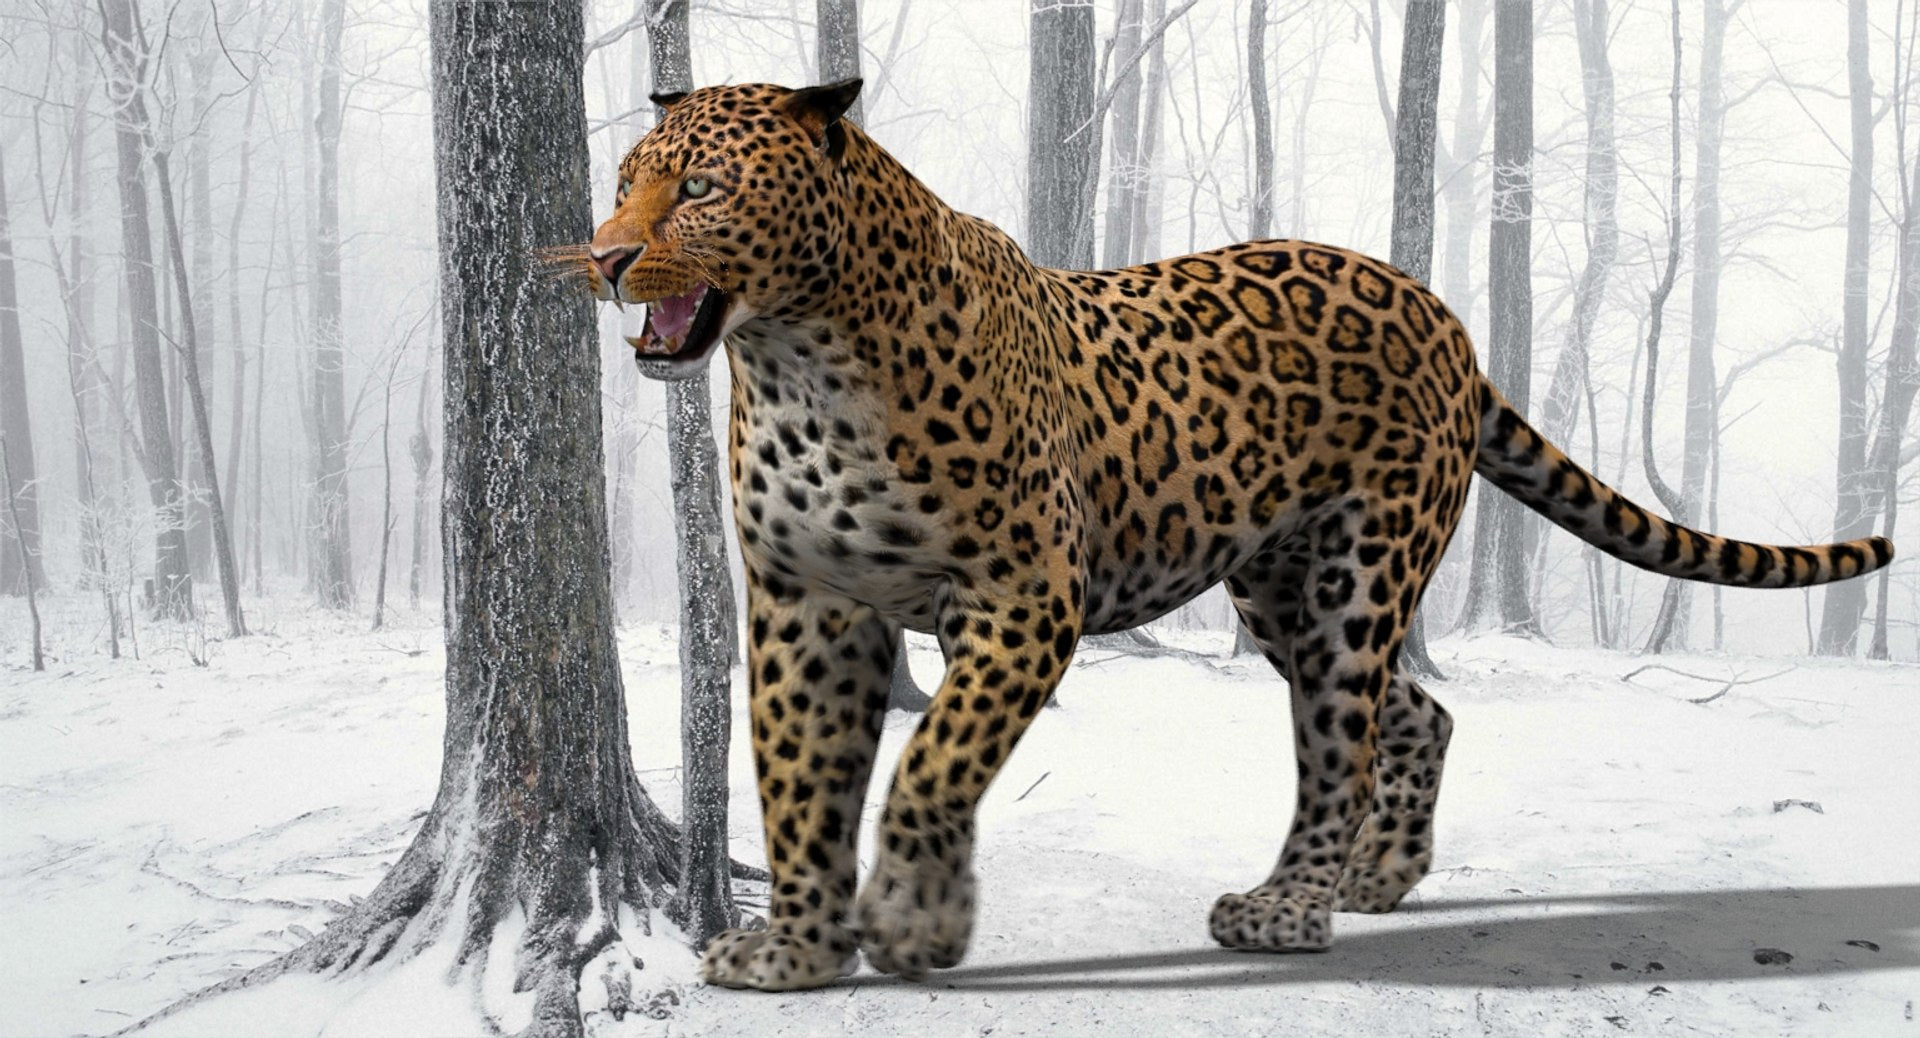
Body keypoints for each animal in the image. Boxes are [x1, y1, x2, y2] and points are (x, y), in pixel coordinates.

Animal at [566, 79, 1895, 991]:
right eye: (626, 179)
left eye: (700, 189)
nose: (610, 256)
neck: (797, 358)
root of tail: (1442, 312)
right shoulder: (808, 602)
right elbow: (799, 780)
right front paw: (795, 951)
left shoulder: (1022, 597)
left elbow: (931, 763)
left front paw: (914, 922)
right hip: (1282, 590)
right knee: (1419, 711)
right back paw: (1378, 874)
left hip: (1361, 569)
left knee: (1340, 746)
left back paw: (1289, 907)